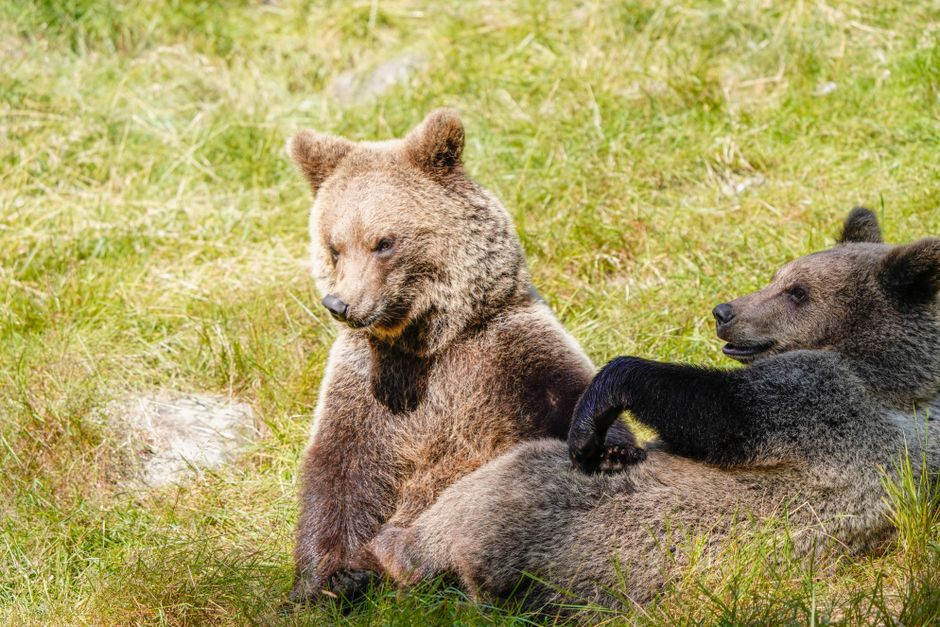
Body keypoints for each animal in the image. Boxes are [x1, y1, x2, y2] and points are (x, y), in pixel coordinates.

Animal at [284, 109, 643, 605]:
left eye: (384, 242)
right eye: (334, 246)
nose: (341, 304)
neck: (431, 341)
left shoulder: (505, 350)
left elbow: (565, 396)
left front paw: (609, 448)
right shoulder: (368, 382)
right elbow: (340, 470)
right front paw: (334, 577)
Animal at [367, 207, 940, 610]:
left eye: (798, 292)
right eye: (780, 275)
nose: (725, 312)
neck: (892, 375)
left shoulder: (829, 407)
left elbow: (720, 413)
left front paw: (596, 412)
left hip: (570, 536)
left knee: (500, 489)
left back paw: (398, 549)